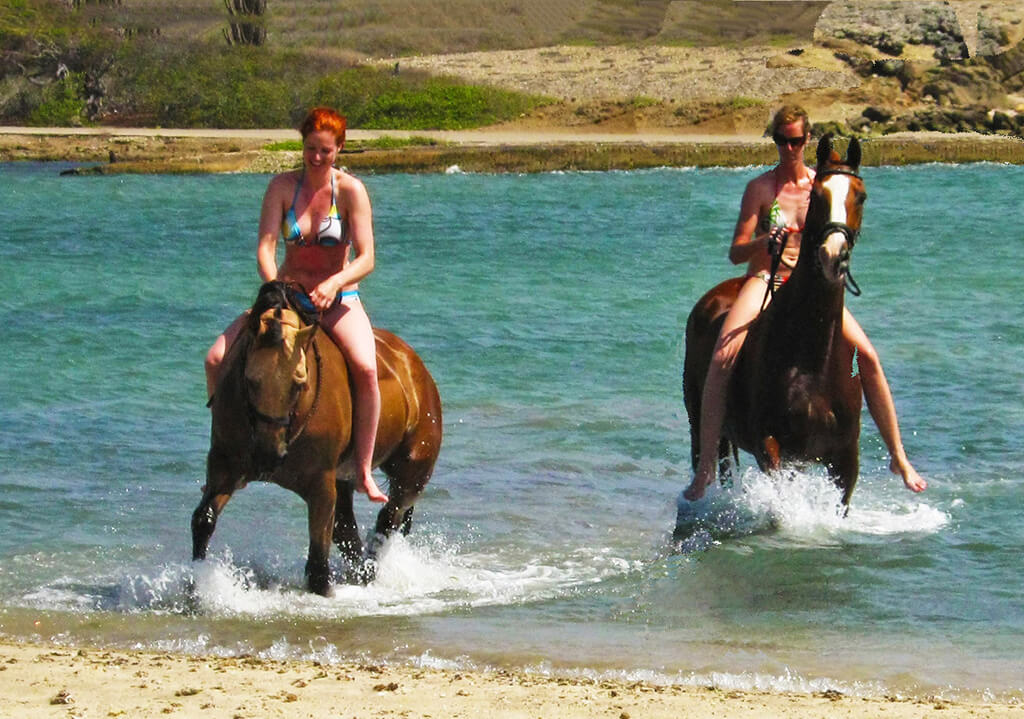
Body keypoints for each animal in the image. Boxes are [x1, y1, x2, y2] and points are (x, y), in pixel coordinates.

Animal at [192, 281, 443, 595]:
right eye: (250, 381)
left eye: (299, 383)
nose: (267, 455)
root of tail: (414, 366)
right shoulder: (225, 467)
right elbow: (203, 520)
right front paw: (196, 586)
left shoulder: (321, 484)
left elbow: (318, 567)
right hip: (345, 479)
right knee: (349, 532)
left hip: (413, 472)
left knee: (388, 519)